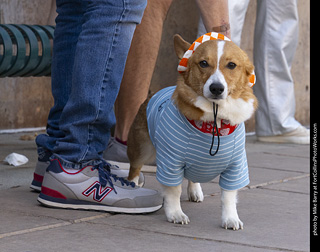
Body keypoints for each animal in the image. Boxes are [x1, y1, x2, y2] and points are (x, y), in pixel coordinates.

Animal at [127, 33, 258, 230]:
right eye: (203, 63)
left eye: (232, 65)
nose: (216, 88)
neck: (214, 122)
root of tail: (152, 93)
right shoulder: (171, 163)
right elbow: (173, 191)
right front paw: (175, 214)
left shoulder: (235, 167)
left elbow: (228, 196)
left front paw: (230, 218)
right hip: (142, 148)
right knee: (134, 168)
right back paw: (132, 186)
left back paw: (195, 190)